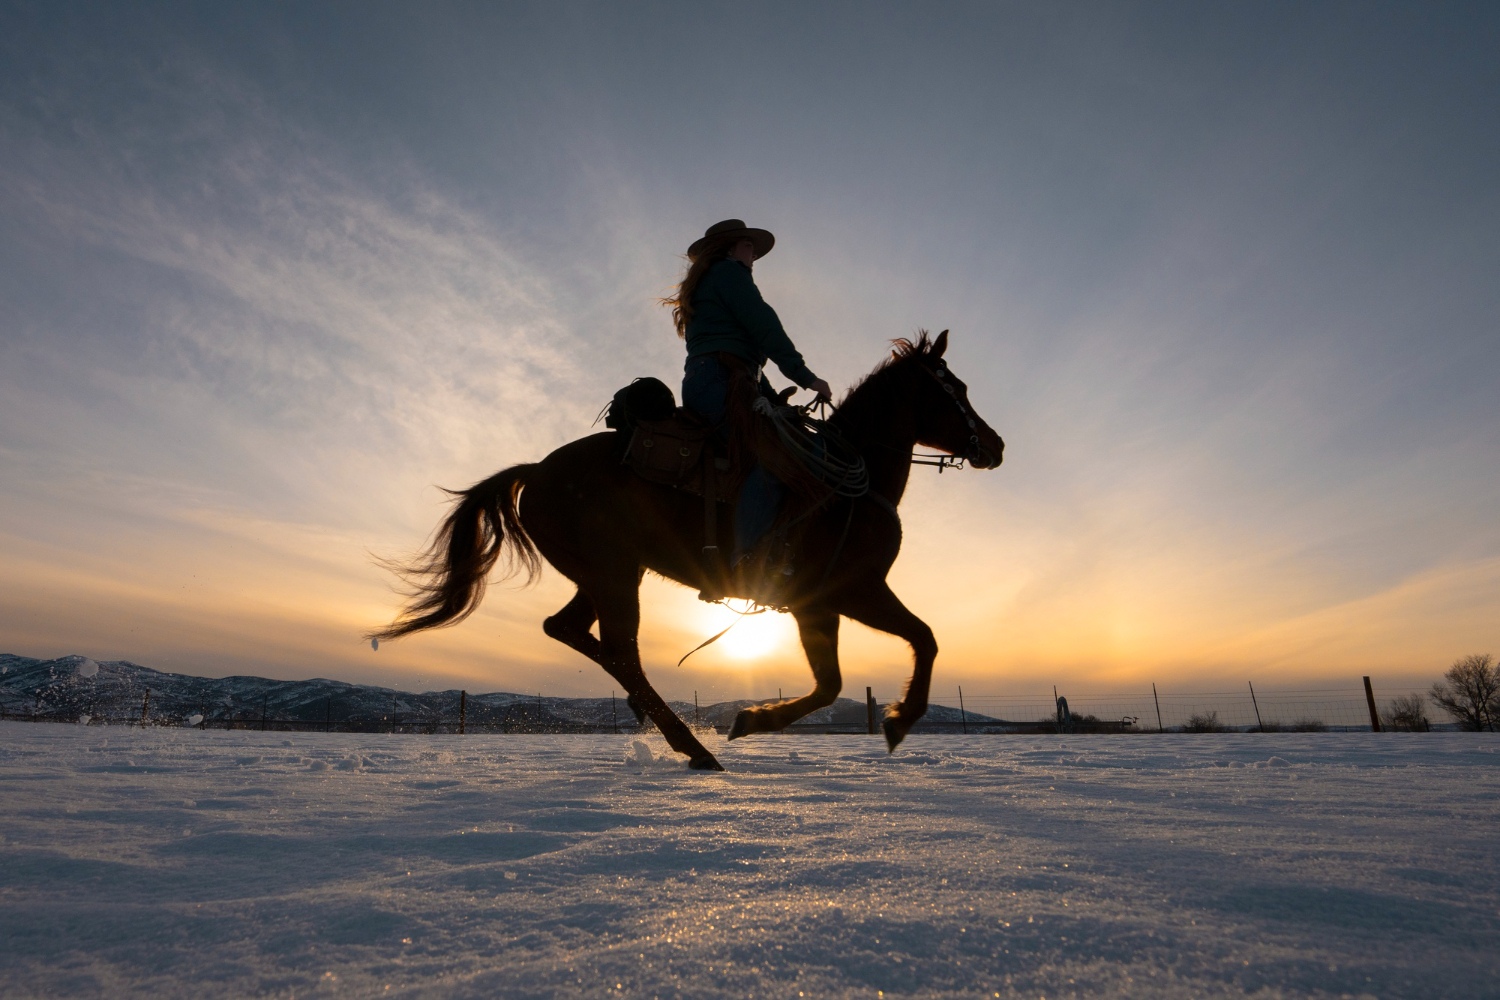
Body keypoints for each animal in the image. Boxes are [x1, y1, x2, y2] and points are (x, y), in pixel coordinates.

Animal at [372, 332, 1008, 773]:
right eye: (956, 390)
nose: (996, 445)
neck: (847, 483)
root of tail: (537, 470)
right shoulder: (854, 590)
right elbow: (923, 638)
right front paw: (899, 720)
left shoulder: (818, 606)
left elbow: (831, 684)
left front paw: (751, 719)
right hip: (614, 573)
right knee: (619, 648)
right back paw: (692, 746)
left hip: (604, 574)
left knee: (571, 630)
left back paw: (657, 720)